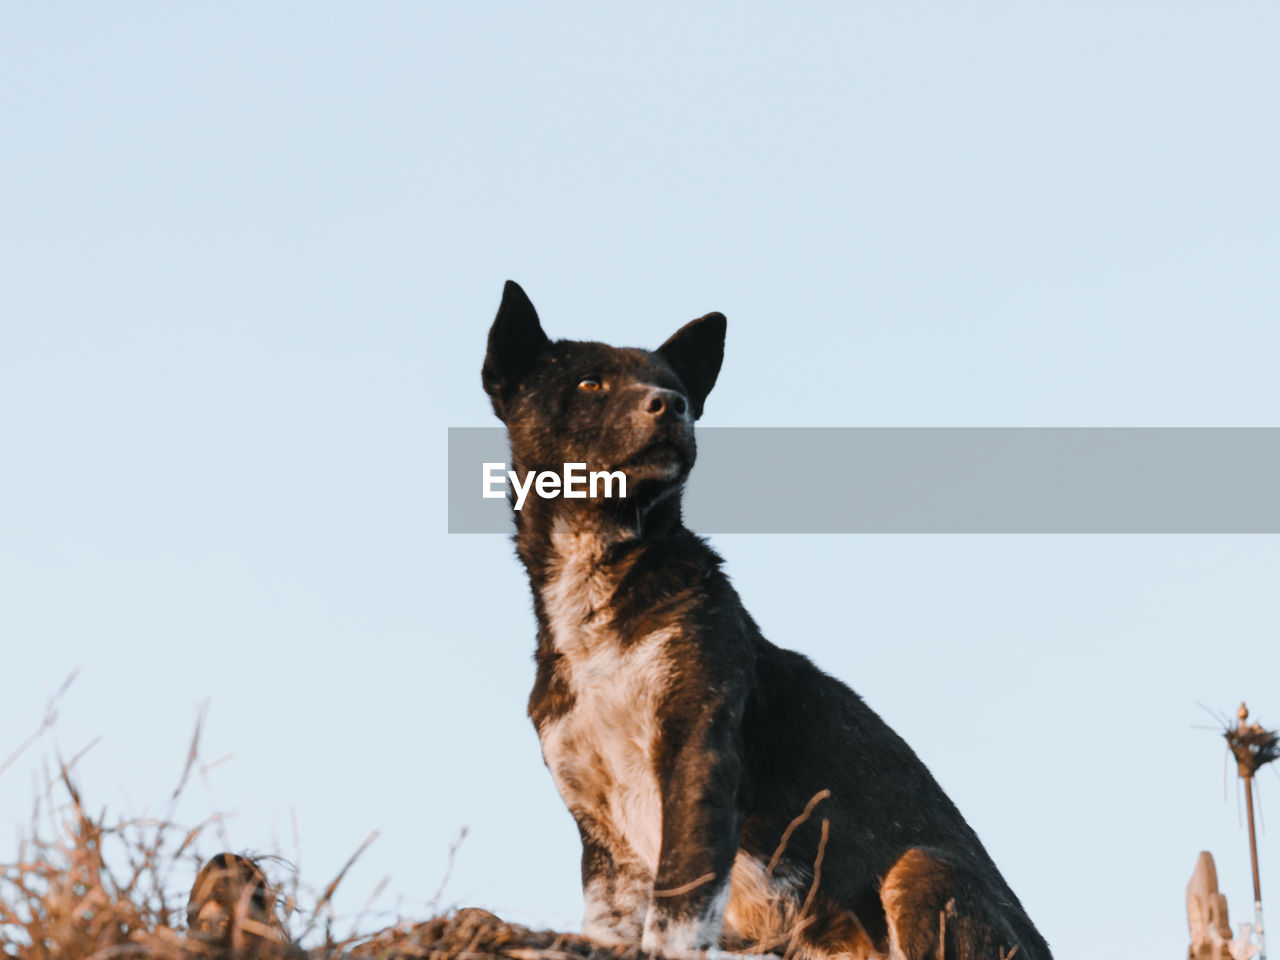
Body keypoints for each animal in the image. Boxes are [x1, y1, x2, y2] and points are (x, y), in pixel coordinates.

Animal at [481, 281, 1049, 957]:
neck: (600, 596)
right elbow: (612, 922)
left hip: (920, 868)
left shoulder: (698, 759)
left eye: (674, 386)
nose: (672, 407)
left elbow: (678, 912)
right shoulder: (600, 829)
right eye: (590, 383)